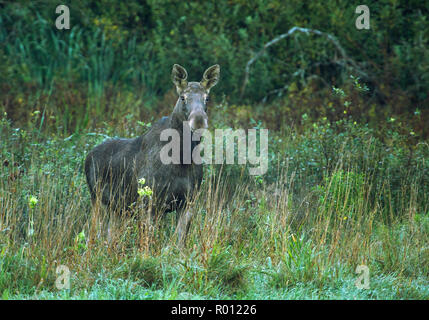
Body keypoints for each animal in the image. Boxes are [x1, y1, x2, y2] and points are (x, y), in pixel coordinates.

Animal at [84, 63, 221, 244]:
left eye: (207, 98)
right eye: (183, 97)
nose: (199, 120)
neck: (181, 159)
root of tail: (87, 156)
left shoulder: (189, 201)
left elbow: (179, 242)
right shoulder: (149, 201)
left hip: (117, 208)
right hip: (97, 199)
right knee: (93, 235)